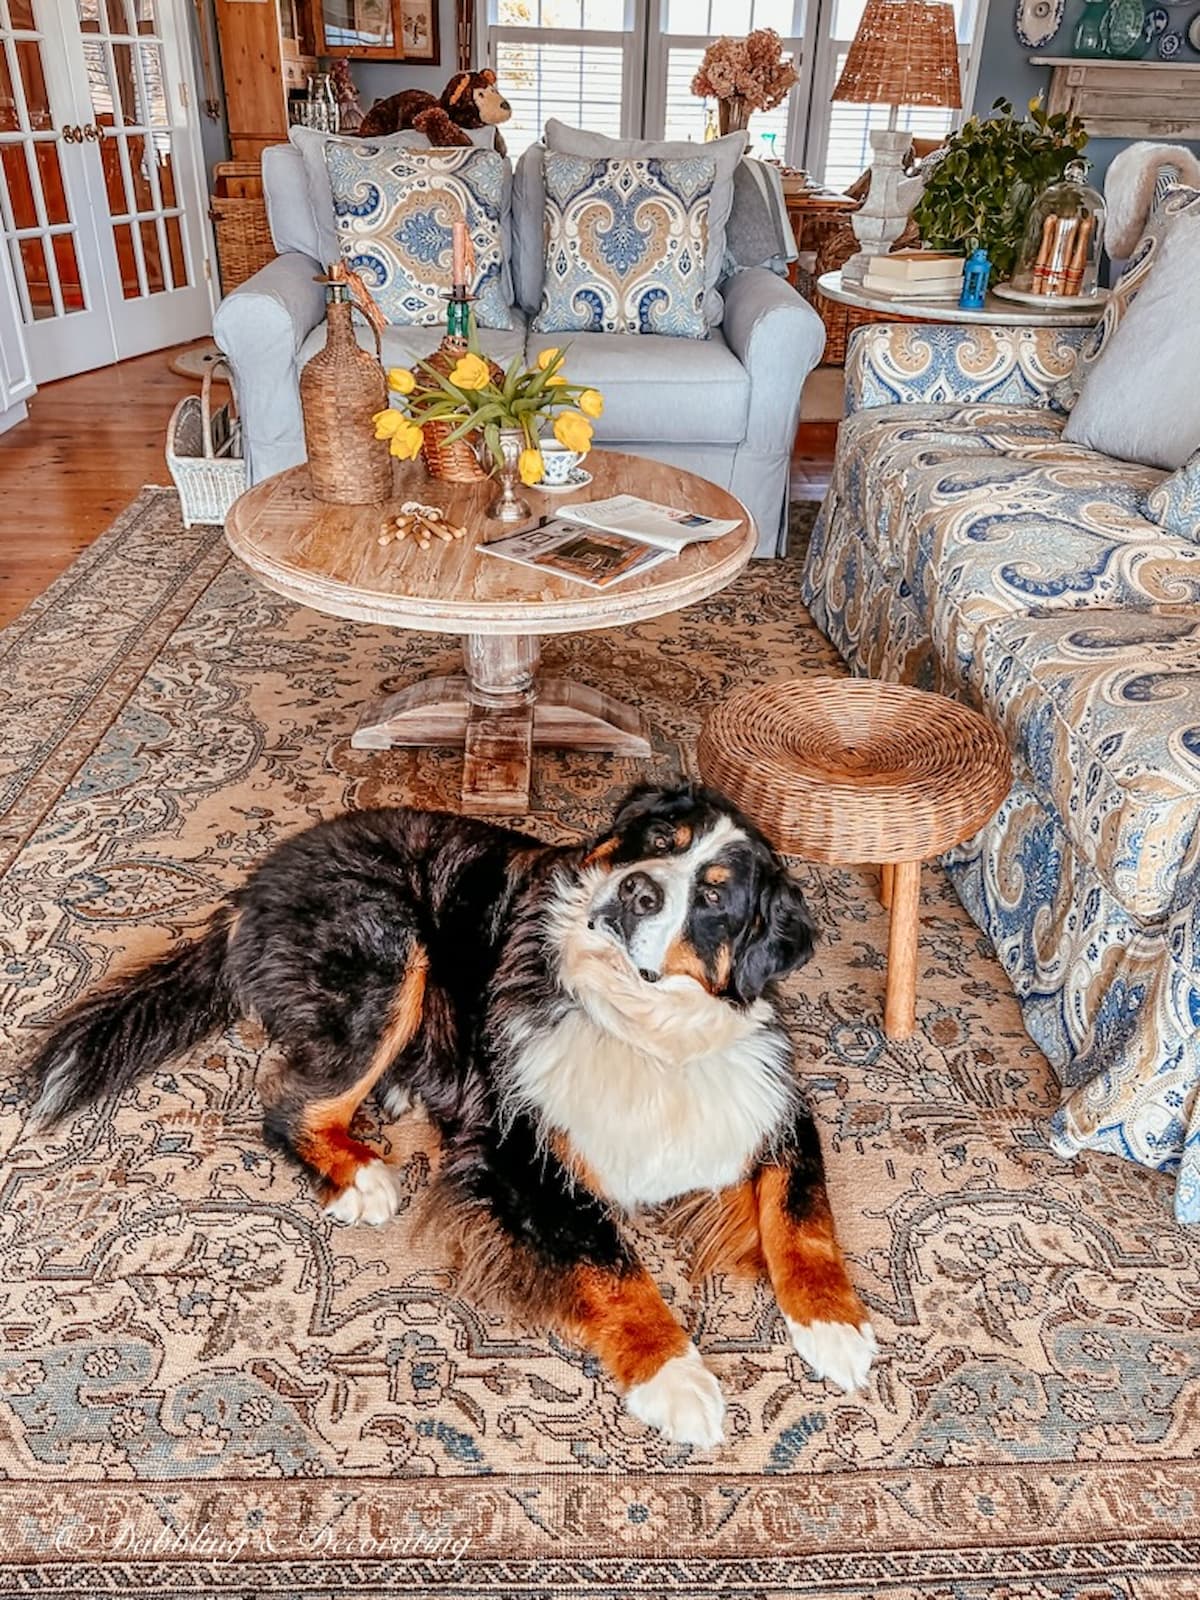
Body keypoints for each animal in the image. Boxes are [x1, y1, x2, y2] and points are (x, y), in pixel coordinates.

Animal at [25, 780, 876, 1446]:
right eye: (655, 843)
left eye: (715, 893)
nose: (638, 891)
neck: (640, 1027)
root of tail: (256, 884)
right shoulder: (514, 1152)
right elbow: (612, 1264)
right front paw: (675, 1377)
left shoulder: (770, 1100)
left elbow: (803, 1213)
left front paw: (834, 1325)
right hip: (389, 947)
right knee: (291, 1106)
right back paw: (360, 1175)